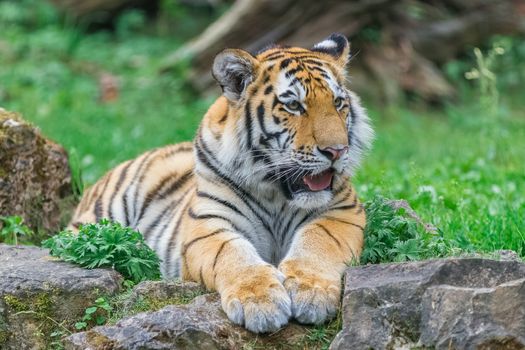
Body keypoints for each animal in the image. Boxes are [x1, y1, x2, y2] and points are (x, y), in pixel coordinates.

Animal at [69, 33, 372, 334]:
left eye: (338, 103)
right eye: (294, 105)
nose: (337, 151)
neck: (276, 193)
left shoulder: (342, 211)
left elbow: (319, 241)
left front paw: (311, 293)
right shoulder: (208, 224)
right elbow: (233, 254)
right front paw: (261, 302)